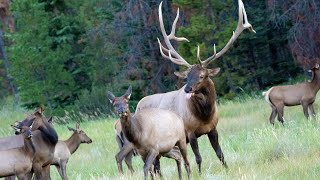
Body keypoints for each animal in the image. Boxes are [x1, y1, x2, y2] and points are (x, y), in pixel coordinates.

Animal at [135, 0, 255, 172]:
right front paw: (199, 173)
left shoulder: (213, 129)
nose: (187, 89)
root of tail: (137, 106)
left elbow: (220, 153)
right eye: (187, 76)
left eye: (202, 75)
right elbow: (198, 158)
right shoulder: (189, 132)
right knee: (153, 164)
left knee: (156, 163)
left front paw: (227, 169)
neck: (204, 116)